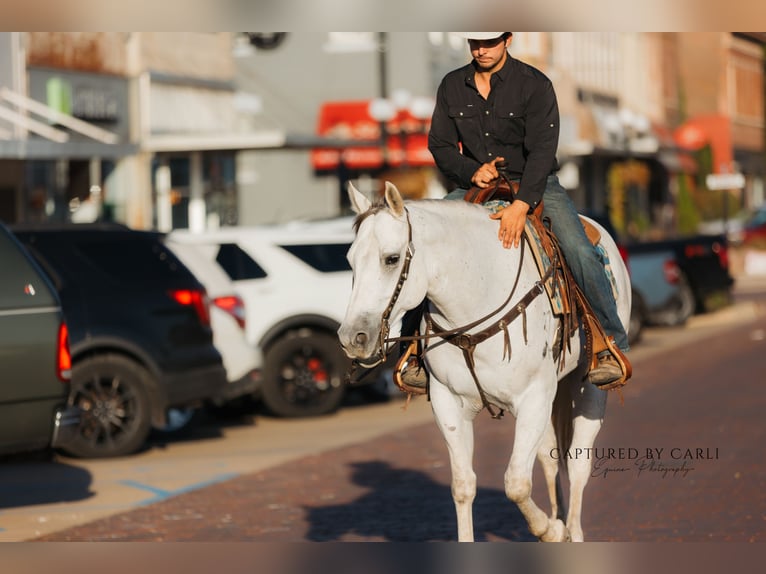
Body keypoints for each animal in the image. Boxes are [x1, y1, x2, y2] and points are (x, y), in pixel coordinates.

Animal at [337, 181, 632, 542]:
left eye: (391, 259)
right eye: (350, 260)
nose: (352, 337)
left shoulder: (533, 397)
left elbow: (516, 483)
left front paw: (551, 531)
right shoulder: (449, 403)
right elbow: (464, 486)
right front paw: (549, 527)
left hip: (588, 387)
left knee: (578, 464)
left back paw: (570, 530)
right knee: (549, 458)